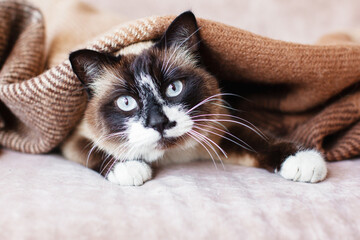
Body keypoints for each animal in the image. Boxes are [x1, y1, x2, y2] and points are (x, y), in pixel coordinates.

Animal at [61, 10, 326, 186]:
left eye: (174, 88)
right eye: (126, 102)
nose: (159, 123)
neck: (172, 155)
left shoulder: (222, 132)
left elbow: (260, 140)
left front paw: (303, 160)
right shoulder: (74, 138)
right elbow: (96, 150)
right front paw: (130, 168)